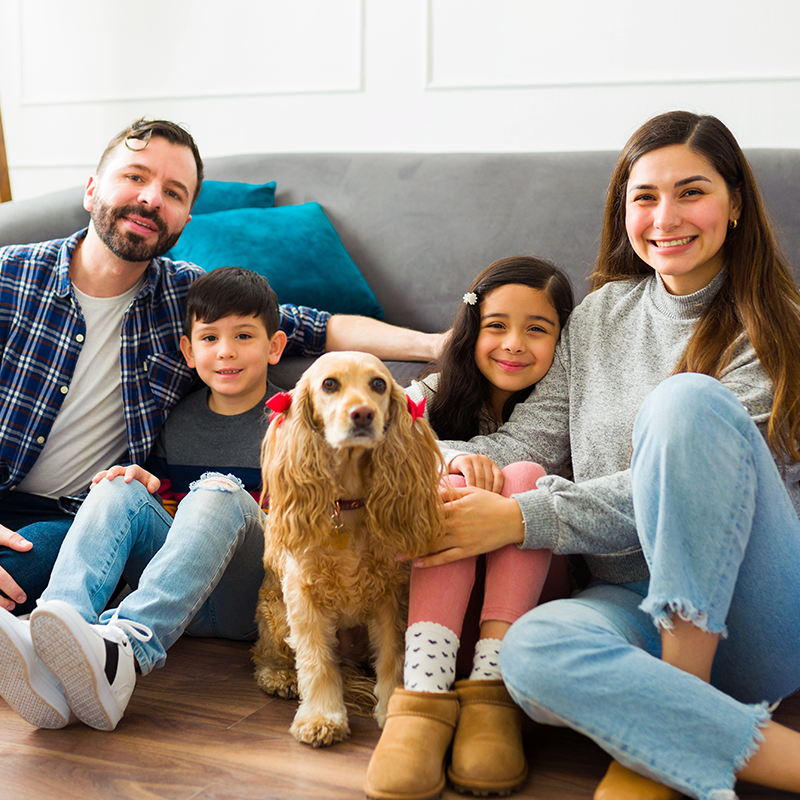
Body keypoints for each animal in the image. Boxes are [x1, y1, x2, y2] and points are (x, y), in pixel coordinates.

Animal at [253, 354, 444, 748]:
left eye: (378, 384)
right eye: (330, 384)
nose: (363, 414)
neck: (349, 503)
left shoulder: (391, 594)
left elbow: (392, 655)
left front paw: (390, 708)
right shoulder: (303, 595)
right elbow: (316, 661)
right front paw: (321, 717)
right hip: (274, 614)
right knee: (265, 656)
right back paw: (281, 678)